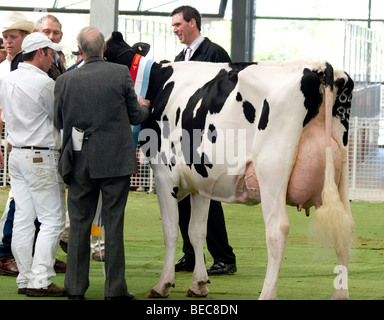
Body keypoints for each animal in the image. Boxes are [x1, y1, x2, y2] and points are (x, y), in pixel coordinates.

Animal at [104, 31, 354, 300]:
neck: (157, 83)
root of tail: (319, 66)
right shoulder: (200, 181)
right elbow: (196, 230)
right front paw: (199, 283)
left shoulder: (164, 175)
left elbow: (170, 230)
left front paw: (163, 284)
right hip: (340, 171)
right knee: (346, 226)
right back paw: (341, 294)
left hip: (271, 168)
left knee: (278, 229)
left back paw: (267, 293)